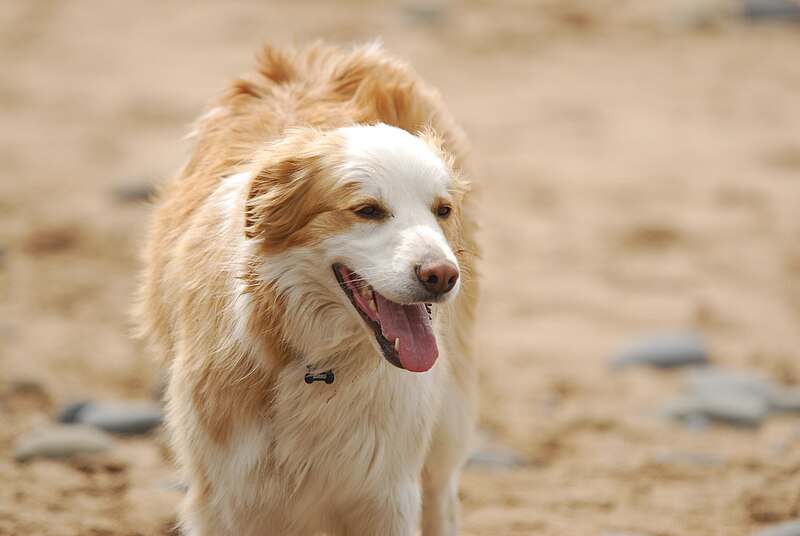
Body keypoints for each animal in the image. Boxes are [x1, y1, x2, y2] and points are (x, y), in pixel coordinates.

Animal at [136, 44, 482, 536]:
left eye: (442, 210)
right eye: (367, 210)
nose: (442, 276)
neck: (313, 361)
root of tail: (329, 52)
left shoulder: (386, 491)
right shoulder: (228, 495)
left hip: (448, 412)